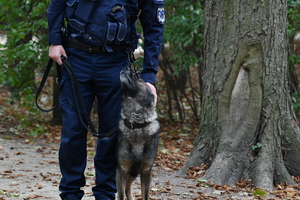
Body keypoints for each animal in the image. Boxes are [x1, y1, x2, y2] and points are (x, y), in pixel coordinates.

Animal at [116, 67, 159, 200]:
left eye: (140, 79)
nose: (126, 68)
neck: (136, 126)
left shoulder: (146, 171)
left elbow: (145, 195)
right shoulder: (122, 169)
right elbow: (120, 195)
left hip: (133, 173)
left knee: (128, 188)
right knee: (126, 188)